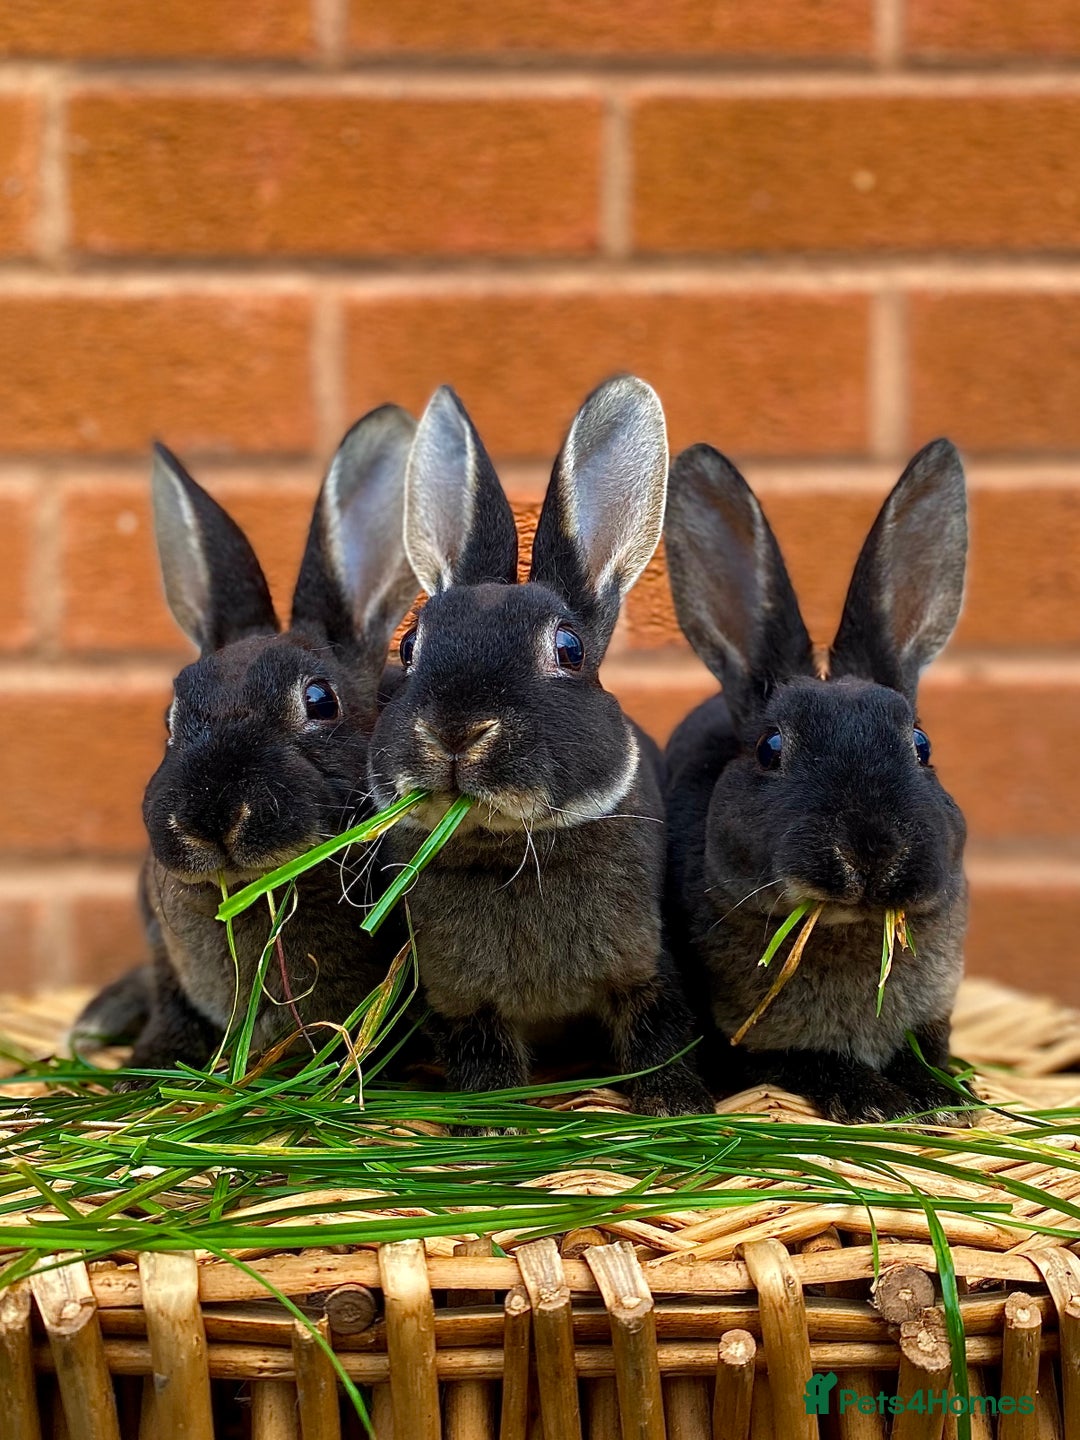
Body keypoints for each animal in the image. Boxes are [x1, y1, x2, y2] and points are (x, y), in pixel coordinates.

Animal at [364, 376, 713, 1118]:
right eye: (409, 648)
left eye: (569, 649)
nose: (455, 731)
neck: (508, 846)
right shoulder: (459, 997)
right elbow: (481, 1052)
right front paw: (491, 1122)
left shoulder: (645, 969)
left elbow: (658, 1033)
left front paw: (674, 1106)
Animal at [663, 438, 974, 1125]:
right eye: (770, 748)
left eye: (922, 746)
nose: (872, 853)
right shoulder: (751, 1045)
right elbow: (809, 1061)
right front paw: (873, 1102)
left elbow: (924, 1052)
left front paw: (947, 1099)